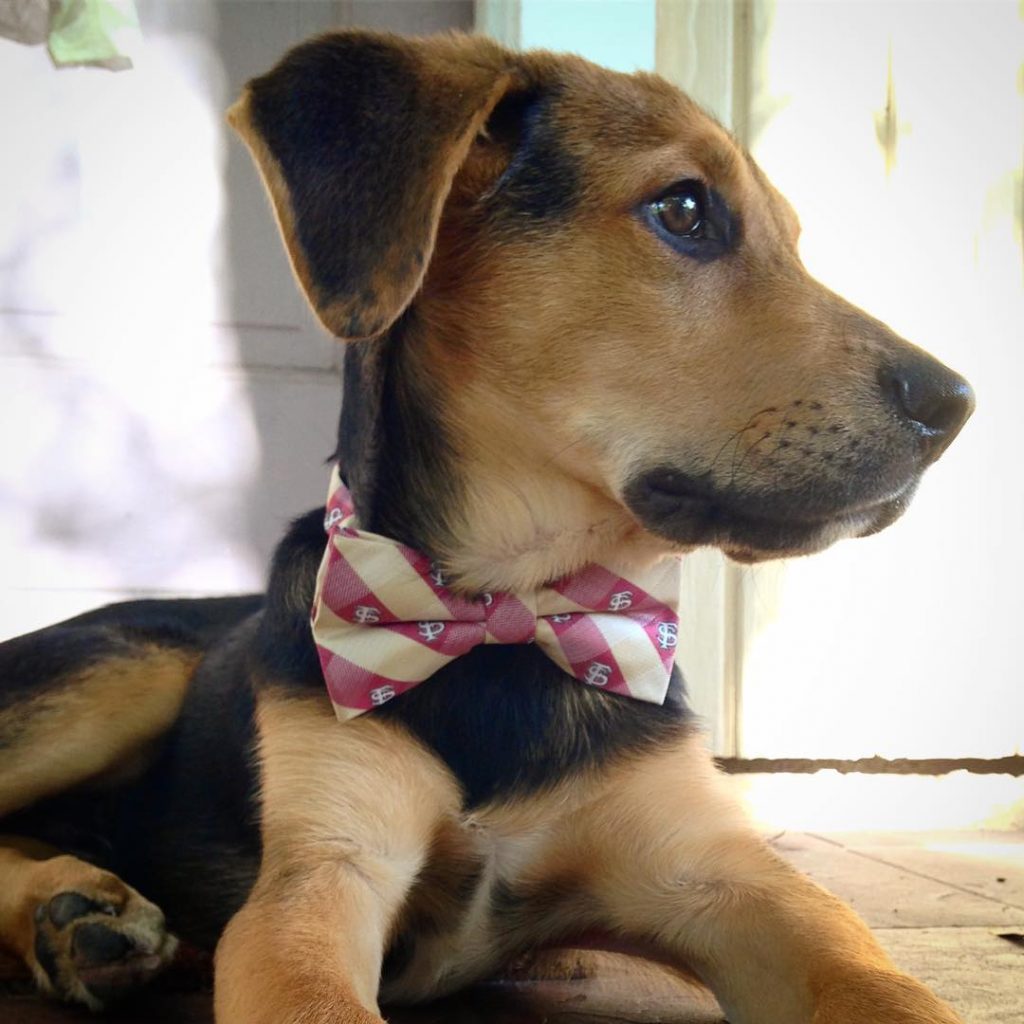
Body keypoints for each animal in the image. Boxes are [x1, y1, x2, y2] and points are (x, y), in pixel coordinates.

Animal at [0, 28, 974, 1019]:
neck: (516, 608)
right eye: (684, 210)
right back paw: (73, 911)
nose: (957, 405)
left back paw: (79, 917)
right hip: (125, 671)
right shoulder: (320, 877)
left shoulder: (721, 872)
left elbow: (884, 986)